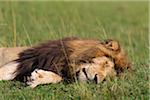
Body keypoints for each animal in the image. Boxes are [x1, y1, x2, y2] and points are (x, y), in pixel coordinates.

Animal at [0, 36, 130, 87]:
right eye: (105, 63)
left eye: (106, 79)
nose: (96, 80)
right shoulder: (23, 60)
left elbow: (57, 77)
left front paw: (37, 78)